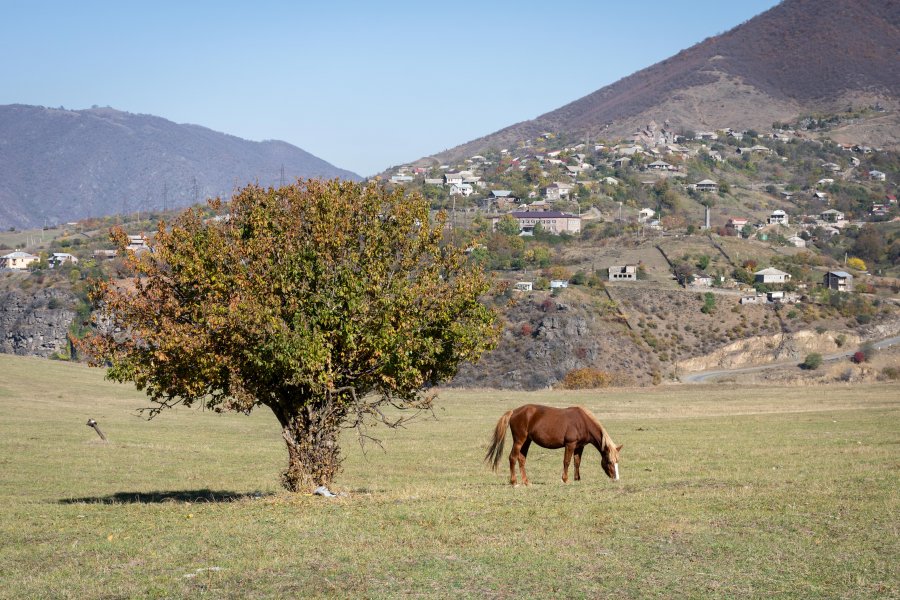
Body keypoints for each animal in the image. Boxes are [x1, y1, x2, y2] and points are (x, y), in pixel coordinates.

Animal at [482, 404, 624, 488]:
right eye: (609, 461)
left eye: (617, 461)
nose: (616, 479)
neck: (582, 421)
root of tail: (514, 411)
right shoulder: (570, 444)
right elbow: (567, 461)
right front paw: (565, 480)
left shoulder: (579, 447)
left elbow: (577, 462)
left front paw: (577, 479)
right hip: (519, 440)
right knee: (512, 458)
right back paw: (514, 482)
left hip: (527, 441)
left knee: (521, 459)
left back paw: (527, 482)